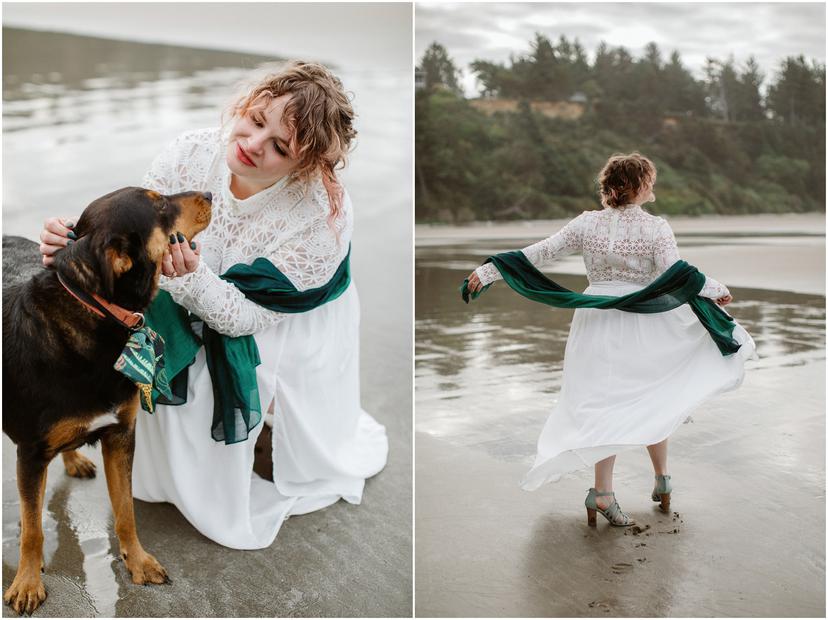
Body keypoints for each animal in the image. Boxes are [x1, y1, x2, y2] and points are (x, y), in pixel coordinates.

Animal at [4, 186, 210, 612]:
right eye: (159, 204)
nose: (214, 193)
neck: (97, 310)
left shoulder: (120, 435)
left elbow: (126, 510)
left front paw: (138, 561)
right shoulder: (30, 453)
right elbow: (32, 529)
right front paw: (28, 582)